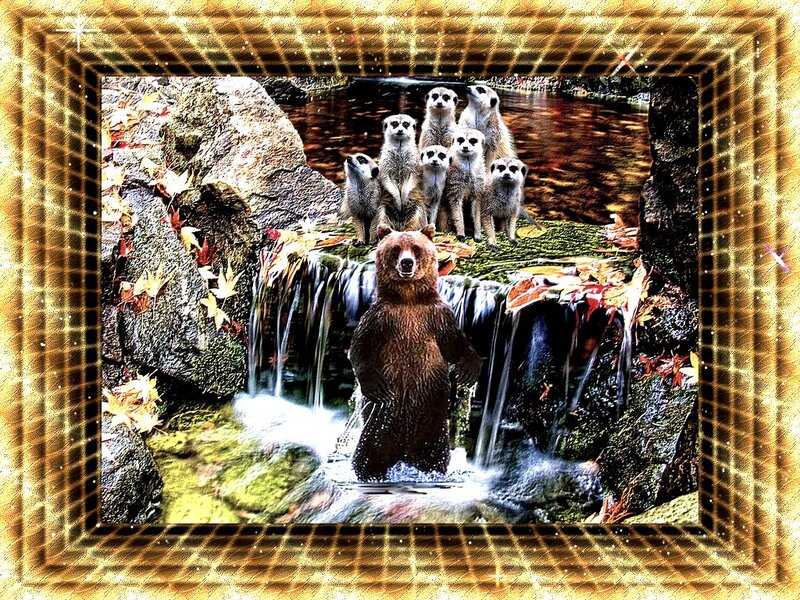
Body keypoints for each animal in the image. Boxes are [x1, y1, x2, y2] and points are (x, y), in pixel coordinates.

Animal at [348, 224, 483, 481]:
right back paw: (369, 473)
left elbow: (454, 344)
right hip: (379, 426)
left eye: (416, 248)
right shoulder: (381, 319)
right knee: (368, 454)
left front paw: (469, 371)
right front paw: (375, 386)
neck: (409, 300)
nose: (406, 262)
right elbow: (361, 347)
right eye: (395, 248)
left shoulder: (436, 317)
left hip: (432, 424)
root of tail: (403, 454)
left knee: (434, 455)